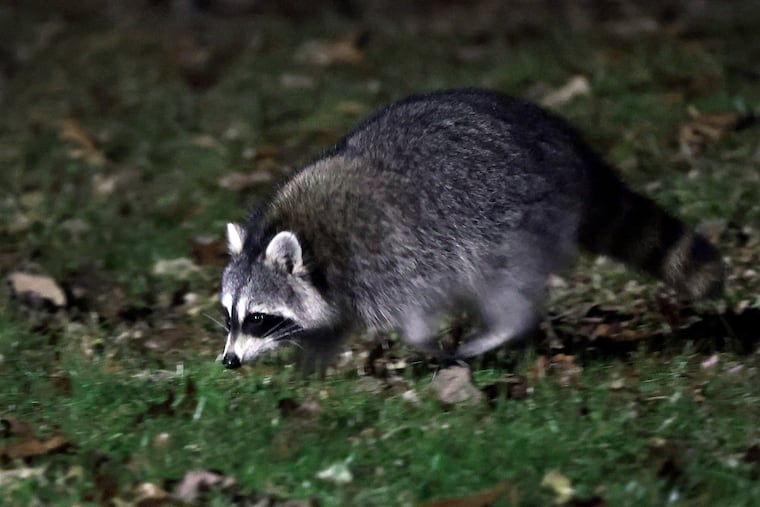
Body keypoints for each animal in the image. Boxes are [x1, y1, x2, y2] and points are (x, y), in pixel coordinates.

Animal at [219, 88, 724, 369]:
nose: (228, 362)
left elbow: (415, 307)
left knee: (501, 283)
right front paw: (313, 362)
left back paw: (500, 330)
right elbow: (330, 323)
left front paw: (421, 340)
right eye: (229, 316)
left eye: (258, 318)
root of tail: (568, 145)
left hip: (514, 220)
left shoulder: (390, 254)